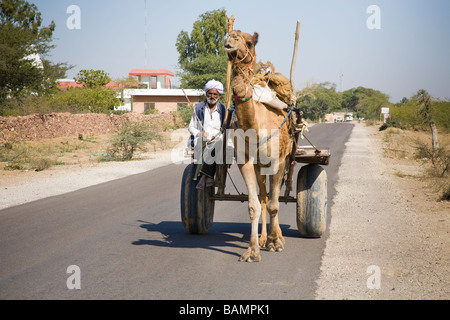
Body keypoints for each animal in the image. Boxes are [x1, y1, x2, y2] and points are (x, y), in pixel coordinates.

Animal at [225, 29, 296, 262]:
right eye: (229, 35)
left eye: (248, 41)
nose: (230, 40)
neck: (255, 126)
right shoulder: (245, 161)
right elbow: (254, 205)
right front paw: (253, 250)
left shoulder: (278, 160)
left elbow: (275, 204)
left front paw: (275, 243)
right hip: (259, 166)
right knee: (264, 196)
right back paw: (264, 238)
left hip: (283, 161)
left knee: (275, 196)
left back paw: (278, 237)